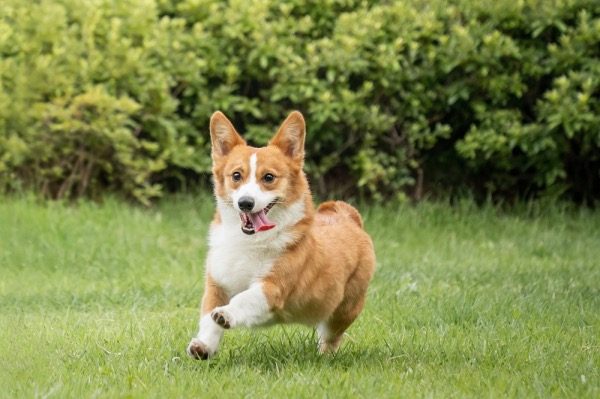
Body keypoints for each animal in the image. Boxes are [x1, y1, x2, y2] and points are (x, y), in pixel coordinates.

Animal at [186, 111, 376, 360]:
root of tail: (347, 215)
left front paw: (226, 314)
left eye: (268, 177)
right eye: (236, 175)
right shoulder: (217, 285)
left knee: (331, 337)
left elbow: (242, 299)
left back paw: (324, 357)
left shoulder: (272, 288)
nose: (245, 203)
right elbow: (208, 319)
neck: (249, 242)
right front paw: (203, 346)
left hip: (344, 311)